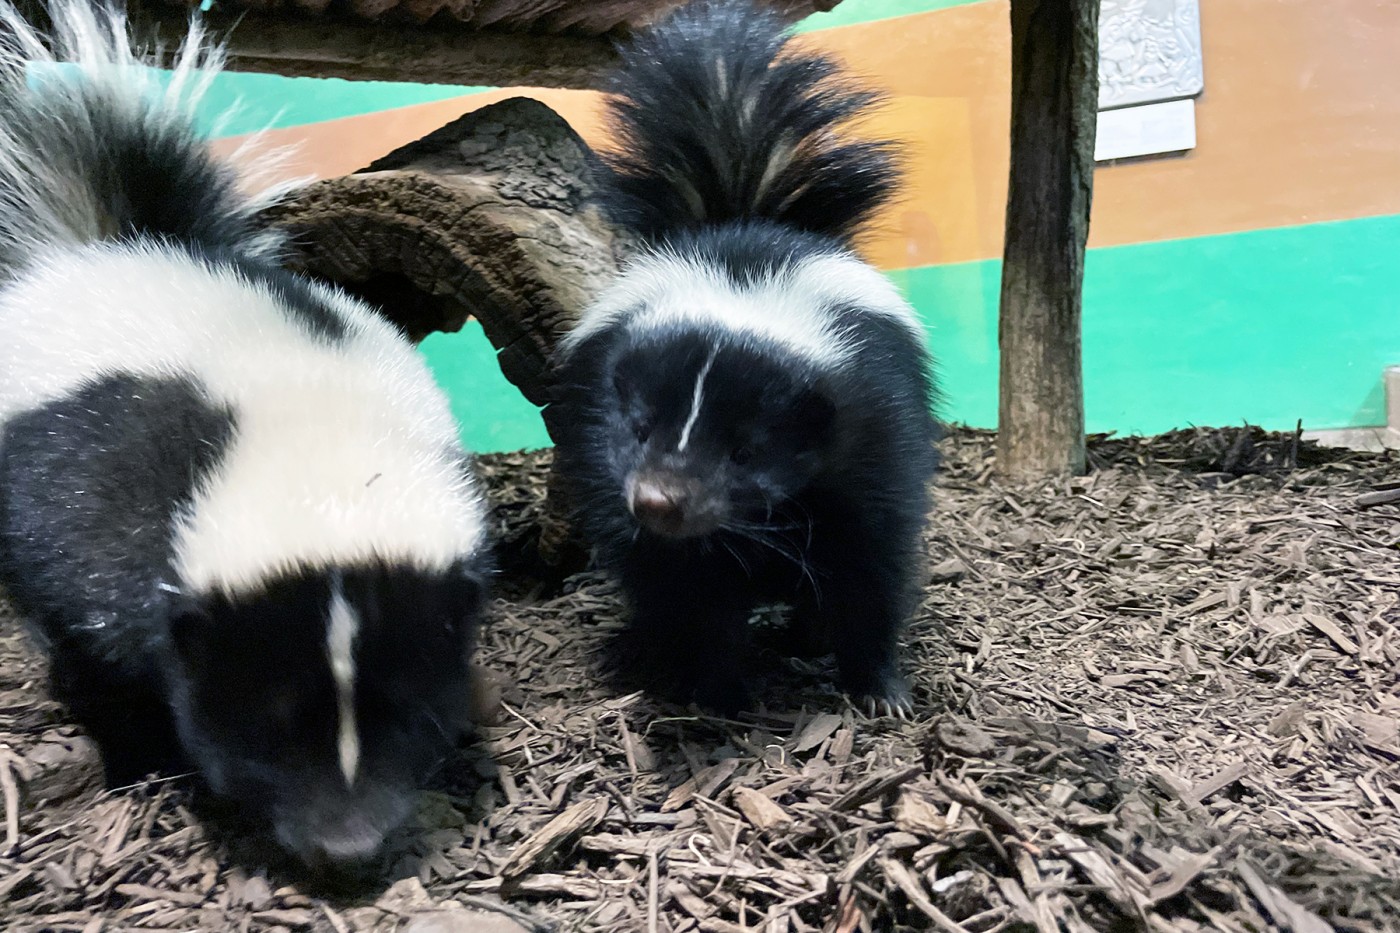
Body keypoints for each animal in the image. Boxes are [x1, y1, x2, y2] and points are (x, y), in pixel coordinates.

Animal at [0, 0, 492, 862]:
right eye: (266, 721)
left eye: (410, 708)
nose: (348, 843)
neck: (319, 429)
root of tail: (110, 243)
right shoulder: (95, 509)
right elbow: (96, 648)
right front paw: (138, 762)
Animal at [548, 0, 940, 714]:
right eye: (639, 429)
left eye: (746, 450)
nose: (658, 501)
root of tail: (740, 214)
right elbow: (691, 593)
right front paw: (718, 689)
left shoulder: (875, 436)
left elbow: (870, 572)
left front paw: (879, 688)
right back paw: (641, 645)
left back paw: (803, 635)